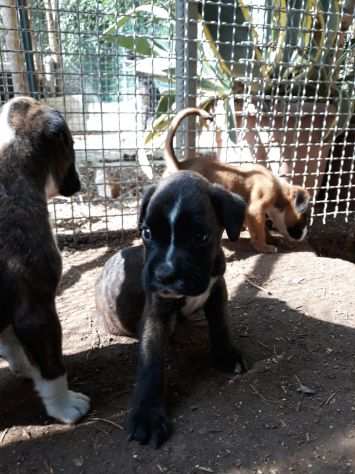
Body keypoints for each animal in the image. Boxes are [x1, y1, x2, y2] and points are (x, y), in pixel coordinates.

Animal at [0, 96, 90, 422]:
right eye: (72, 144)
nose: (78, 182)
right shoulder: (36, 311)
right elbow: (53, 368)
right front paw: (64, 406)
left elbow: (12, 345)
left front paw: (26, 368)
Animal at [97, 171, 248, 448]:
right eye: (146, 233)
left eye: (201, 237)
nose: (164, 274)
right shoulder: (156, 312)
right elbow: (151, 360)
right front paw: (147, 415)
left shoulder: (217, 288)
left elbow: (220, 323)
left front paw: (226, 355)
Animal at [164, 107, 312, 254]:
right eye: (305, 216)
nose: (305, 235)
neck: (280, 190)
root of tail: (179, 164)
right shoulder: (255, 209)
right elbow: (259, 232)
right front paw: (263, 247)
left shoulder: (253, 214)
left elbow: (261, 229)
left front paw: (272, 239)